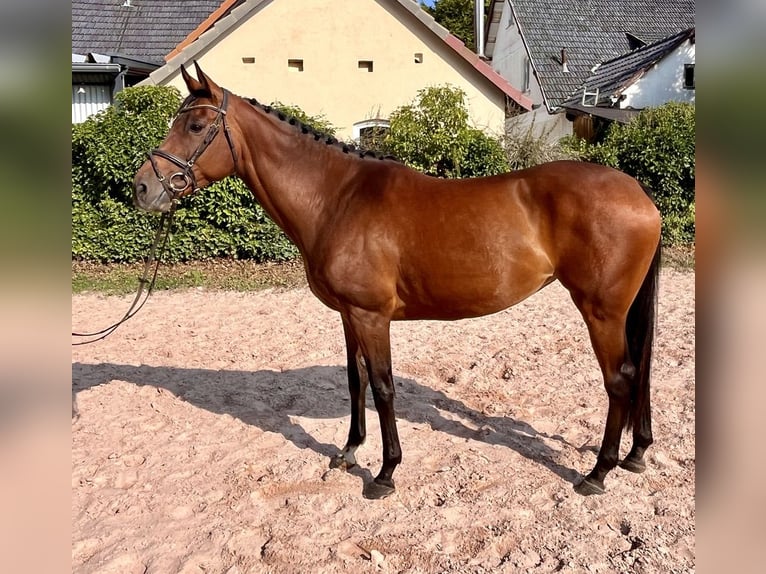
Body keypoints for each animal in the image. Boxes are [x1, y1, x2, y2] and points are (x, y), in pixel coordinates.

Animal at [132, 64, 660, 500]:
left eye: (195, 126)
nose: (142, 188)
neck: (337, 198)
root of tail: (639, 193)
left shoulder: (372, 316)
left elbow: (384, 386)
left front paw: (385, 474)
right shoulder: (349, 316)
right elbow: (356, 381)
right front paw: (348, 452)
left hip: (601, 311)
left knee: (620, 379)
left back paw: (598, 472)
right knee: (637, 374)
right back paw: (635, 454)